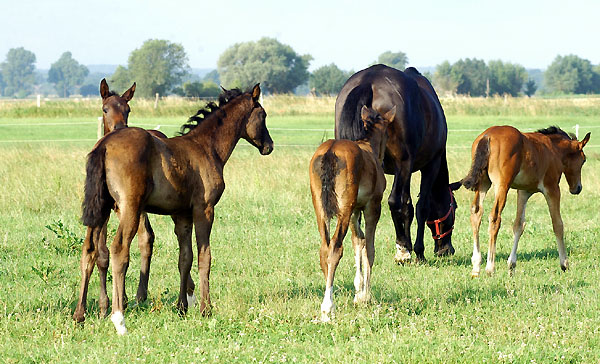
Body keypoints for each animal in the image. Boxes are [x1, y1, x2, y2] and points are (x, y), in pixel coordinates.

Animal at [310, 105, 394, 322]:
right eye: (388, 132)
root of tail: (330, 151)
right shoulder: (372, 206)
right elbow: (369, 248)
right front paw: (366, 296)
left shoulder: (356, 210)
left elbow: (358, 241)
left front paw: (358, 292)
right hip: (344, 210)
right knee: (335, 249)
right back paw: (327, 307)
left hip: (321, 209)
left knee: (324, 248)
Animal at [336, 63, 458, 262]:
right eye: (454, 206)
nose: (446, 250)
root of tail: (369, 79)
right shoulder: (430, 165)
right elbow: (421, 206)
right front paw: (417, 251)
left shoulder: (406, 171)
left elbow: (407, 205)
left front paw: (408, 244)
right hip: (403, 163)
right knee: (394, 202)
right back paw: (402, 251)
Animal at [454, 125, 592, 276]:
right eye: (583, 160)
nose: (577, 188)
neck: (553, 149)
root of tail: (487, 136)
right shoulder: (552, 189)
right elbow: (558, 224)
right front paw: (564, 264)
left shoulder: (524, 192)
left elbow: (519, 225)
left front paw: (511, 265)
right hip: (501, 185)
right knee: (495, 217)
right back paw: (490, 267)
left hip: (483, 183)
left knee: (476, 212)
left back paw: (476, 266)